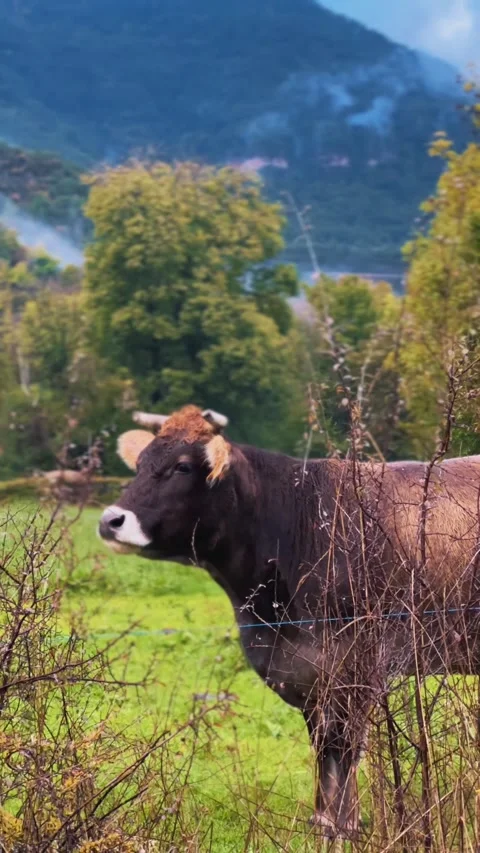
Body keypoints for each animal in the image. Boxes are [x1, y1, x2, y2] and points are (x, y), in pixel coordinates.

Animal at [98, 404, 480, 839]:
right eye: (140, 464)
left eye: (182, 466)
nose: (111, 520)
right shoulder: (304, 673)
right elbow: (323, 748)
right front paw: (323, 821)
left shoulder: (356, 666)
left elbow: (343, 747)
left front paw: (344, 825)